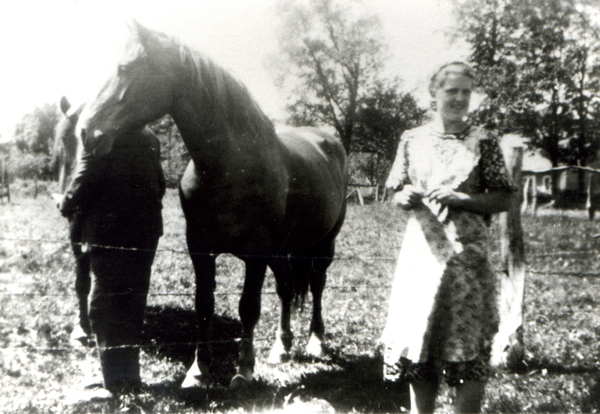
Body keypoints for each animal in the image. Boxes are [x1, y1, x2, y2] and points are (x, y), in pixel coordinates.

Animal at [76, 20, 346, 388]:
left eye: (126, 68)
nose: (85, 130)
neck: (228, 164)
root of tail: (327, 139)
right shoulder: (200, 247)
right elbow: (204, 305)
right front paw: (198, 370)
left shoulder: (256, 253)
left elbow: (248, 307)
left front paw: (244, 370)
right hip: (282, 252)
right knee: (286, 289)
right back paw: (281, 346)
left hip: (324, 244)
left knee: (316, 285)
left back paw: (316, 341)